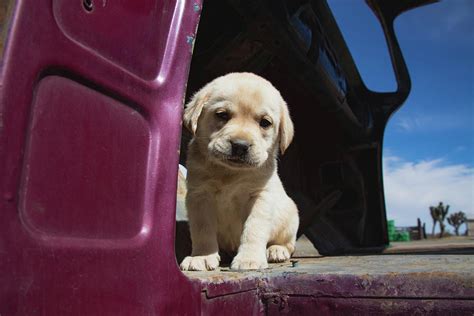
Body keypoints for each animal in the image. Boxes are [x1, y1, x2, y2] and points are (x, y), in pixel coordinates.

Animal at [180, 73, 298, 270]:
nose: (240, 146)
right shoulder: (199, 196)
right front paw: (202, 256)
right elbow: (202, 229)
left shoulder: (260, 196)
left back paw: (276, 250)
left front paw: (249, 259)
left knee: (288, 244)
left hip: (290, 217)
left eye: (265, 123)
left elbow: (253, 229)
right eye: (222, 115)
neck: (230, 173)